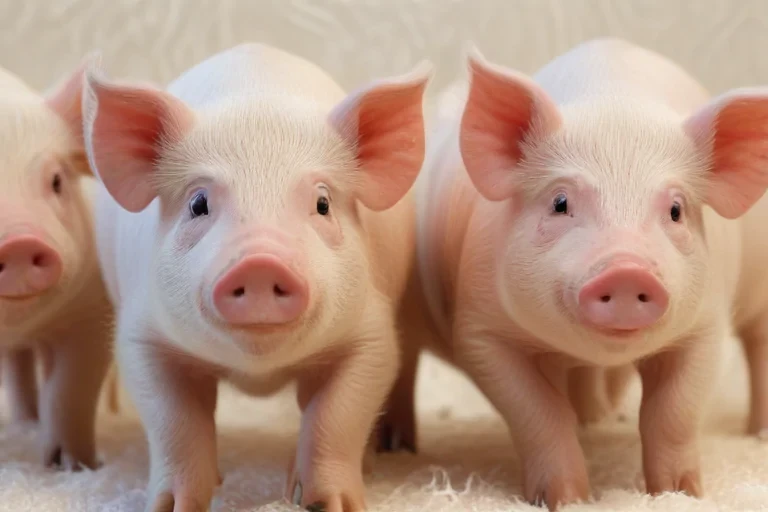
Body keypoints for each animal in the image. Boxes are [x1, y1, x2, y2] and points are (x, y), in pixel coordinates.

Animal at [81, 43, 431, 512]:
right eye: (198, 203)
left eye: (322, 204)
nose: (261, 263)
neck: (258, 371)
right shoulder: (142, 334)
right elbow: (175, 421)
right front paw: (174, 506)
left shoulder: (371, 333)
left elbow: (337, 416)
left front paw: (333, 504)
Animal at [400, 37, 768, 509]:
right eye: (560, 203)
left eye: (676, 209)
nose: (627, 272)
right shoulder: (481, 330)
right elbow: (539, 412)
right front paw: (566, 499)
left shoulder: (706, 325)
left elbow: (674, 411)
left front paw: (680, 493)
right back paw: (397, 446)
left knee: (758, 346)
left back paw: (752, 434)